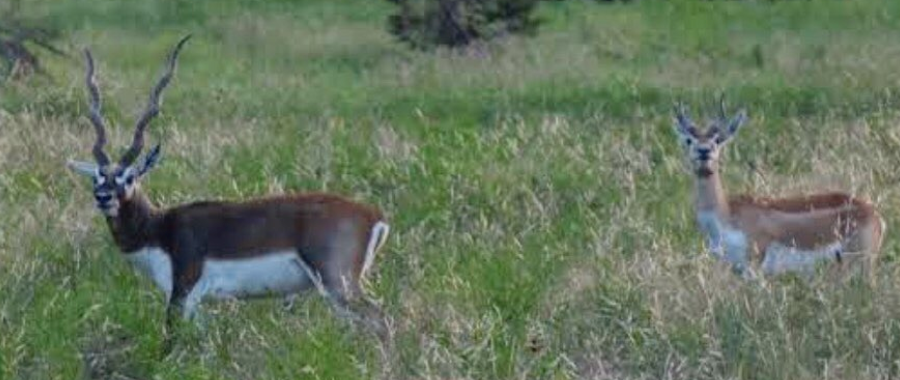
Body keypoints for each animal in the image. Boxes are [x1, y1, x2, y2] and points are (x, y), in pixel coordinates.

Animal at [68, 36, 392, 336]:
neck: (160, 229)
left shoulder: (182, 292)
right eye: (97, 177)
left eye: (129, 177)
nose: (103, 197)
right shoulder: (196, 304)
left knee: (381, 320)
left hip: (338, 284)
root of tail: (372, 215)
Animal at [672, 101, 884, 280]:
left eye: (717, 139)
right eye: (689, 140)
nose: (704, 151)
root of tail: (876, 215)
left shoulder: (754, 264)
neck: (726, 214)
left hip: (862, 262)